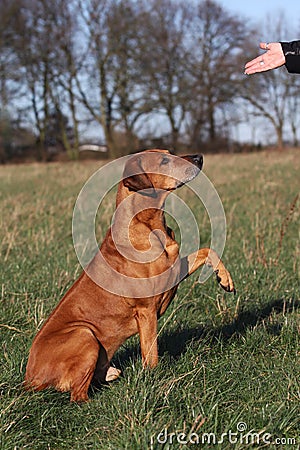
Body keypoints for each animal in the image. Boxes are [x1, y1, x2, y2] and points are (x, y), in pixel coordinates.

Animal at [25, 150, 234, 400]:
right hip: (84, 333)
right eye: (164, 161)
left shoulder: (174, 269)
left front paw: (224, 278)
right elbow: (151, 354)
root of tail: (29, 379)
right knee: (78, 395)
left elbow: (206, 250)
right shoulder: (146, 310)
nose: (199, 157)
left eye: (170, 153)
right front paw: (154, 379)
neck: (148, 225)